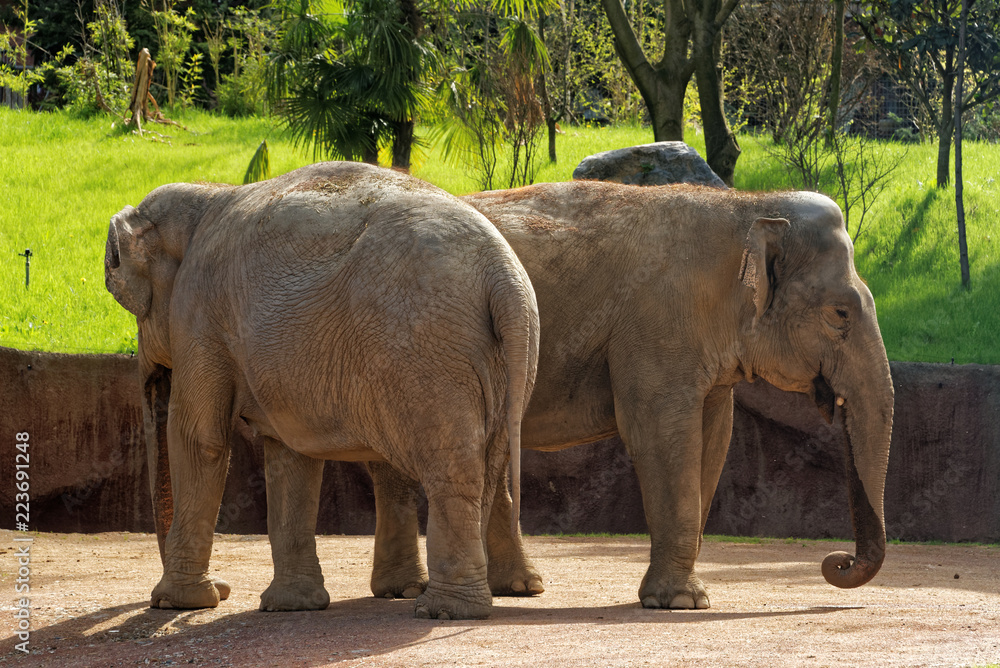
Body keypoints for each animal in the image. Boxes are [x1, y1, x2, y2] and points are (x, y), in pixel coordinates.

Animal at [103, 161, 539, 620]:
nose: (225, 587)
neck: (209, 193)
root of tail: (501, 275)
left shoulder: (199, 311)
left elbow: (200, 439)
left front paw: (177, 603)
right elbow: (289, 456)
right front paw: (291, 607)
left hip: (430, 350)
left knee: (451, 466)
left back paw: (442, 610)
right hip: (503, 357)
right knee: (487, 463)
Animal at [365, 180, 894, 609]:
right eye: (841, 314)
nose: (836, 562)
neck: (744, 206)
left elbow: (713, 440)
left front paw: (681, 596)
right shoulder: (657, 328)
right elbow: (660, 436)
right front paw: (681, 602)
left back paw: (510, 589)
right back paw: (422, 592)